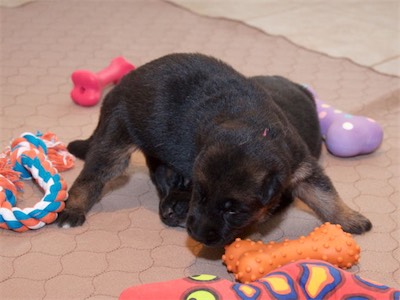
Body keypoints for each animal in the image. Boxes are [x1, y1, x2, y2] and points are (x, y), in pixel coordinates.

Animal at [59, 53, 372, 246]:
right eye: (200, 195)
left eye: (232, 210)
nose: (195, 234)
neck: (255, 130)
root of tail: (123, 83)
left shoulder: (301, 169)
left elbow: (325, 195)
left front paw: (350, 218)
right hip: (116, 137)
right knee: (92, 176)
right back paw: (72, 209)